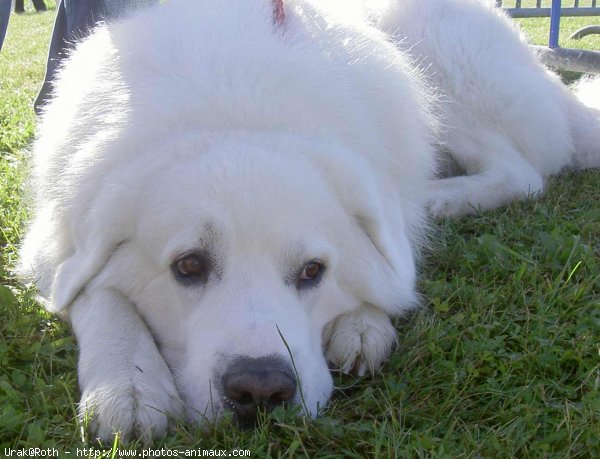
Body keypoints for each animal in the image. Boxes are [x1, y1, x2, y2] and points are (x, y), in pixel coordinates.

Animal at [19, 0, 600, 444]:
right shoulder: (54, 235)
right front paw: (130, 384)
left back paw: (439, 199)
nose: (259, 390)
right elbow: (96, 294)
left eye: (312, 272)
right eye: (188, 266)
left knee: (521, 171)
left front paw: (363, 322)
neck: (235, 110)